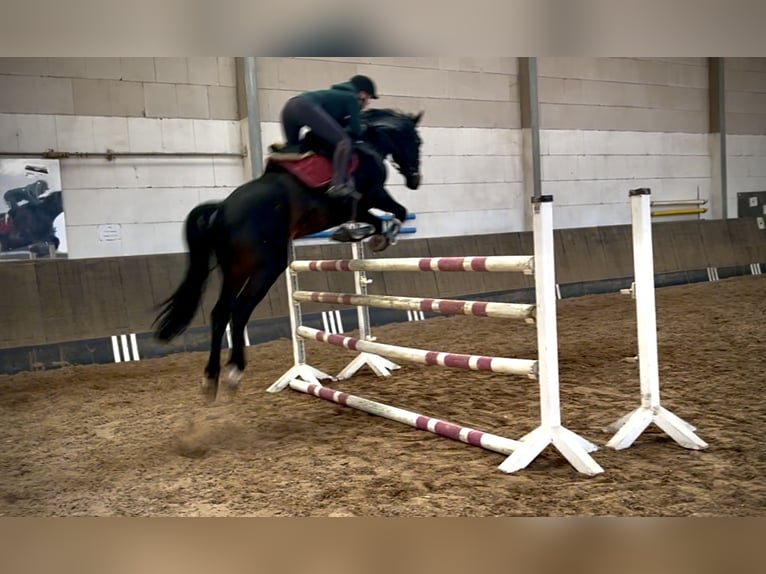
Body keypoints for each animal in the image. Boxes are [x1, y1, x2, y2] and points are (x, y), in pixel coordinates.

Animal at [153, 108, 424, 402]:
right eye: (417, 142)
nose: (415, 180)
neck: (368, 144)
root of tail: (222, 209)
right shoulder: (369, 197)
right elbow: (394, 212)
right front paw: (381, 235)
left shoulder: (358, 206)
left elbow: (379, 217)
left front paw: (359, 234)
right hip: (267, 266)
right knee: (239, 311)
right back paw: (234, 370)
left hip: (235, 269)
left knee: (221, 313)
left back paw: (211, 378)